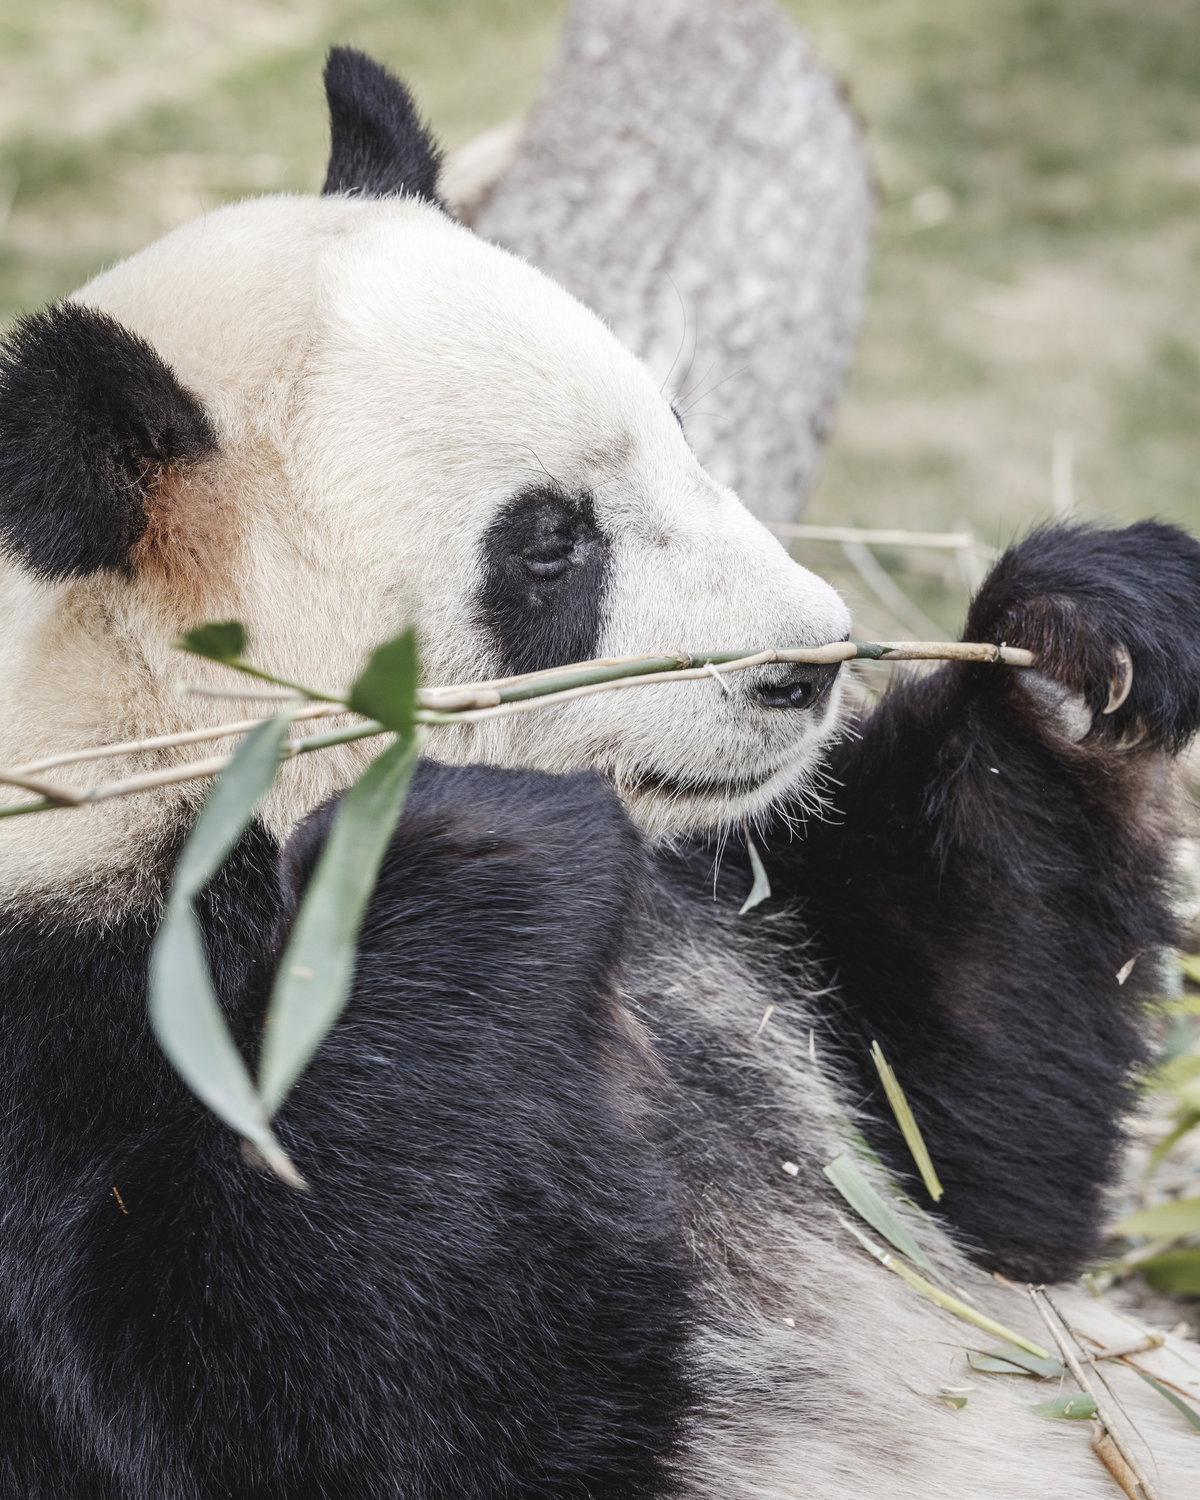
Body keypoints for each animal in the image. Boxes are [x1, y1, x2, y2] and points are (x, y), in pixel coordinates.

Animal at [0, 45, 1198, 1500]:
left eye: (683, 437)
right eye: (550, 545)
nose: (808, 666)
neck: (144, 738)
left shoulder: (739, 936)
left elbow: (972, 1161)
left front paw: (1084, 626)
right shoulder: (71, 1018)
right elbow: (280, 1386)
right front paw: (488, 848)